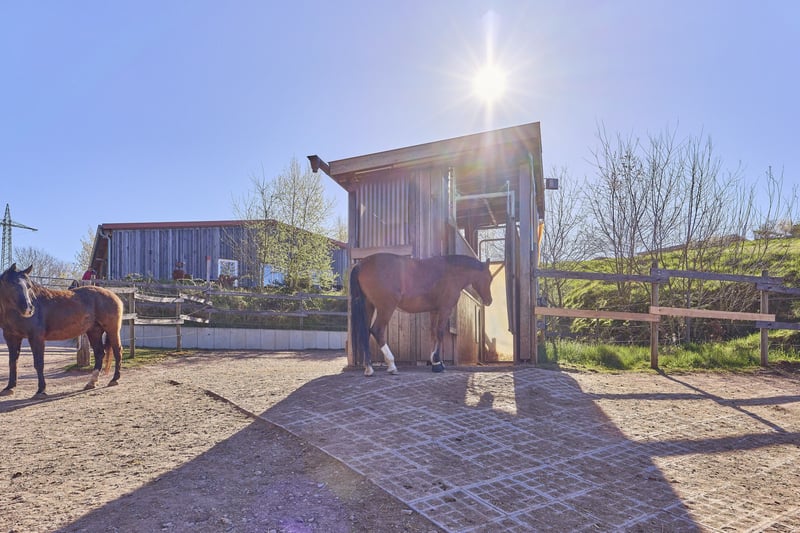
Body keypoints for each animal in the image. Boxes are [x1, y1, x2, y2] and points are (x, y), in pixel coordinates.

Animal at [0, 263, 124, 398]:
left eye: (29, 286)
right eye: (12, 284)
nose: (29, 309)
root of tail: (114, 295)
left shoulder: (36, 338)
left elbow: (38, 363)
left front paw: (41, 390)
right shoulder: (11, 337)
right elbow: (12, 362)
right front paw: (9, 387)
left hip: (112, 330)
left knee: (117, 351)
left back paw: (115, 379)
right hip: (94, 332)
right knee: (99, 353)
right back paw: (91, 382)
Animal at [349, 253, 493, 376]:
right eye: (489, 278)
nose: (489, 301)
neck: (451, 272)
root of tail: (361, 264)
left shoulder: (434, 310)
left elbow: (433, 333)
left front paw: (435, 361)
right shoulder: (445, 309)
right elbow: (440, 333)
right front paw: (438, 364)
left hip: (369, 306)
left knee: (365, 332)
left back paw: (368, 367)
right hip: (386, 308)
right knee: (377, 330)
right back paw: (391, 365)